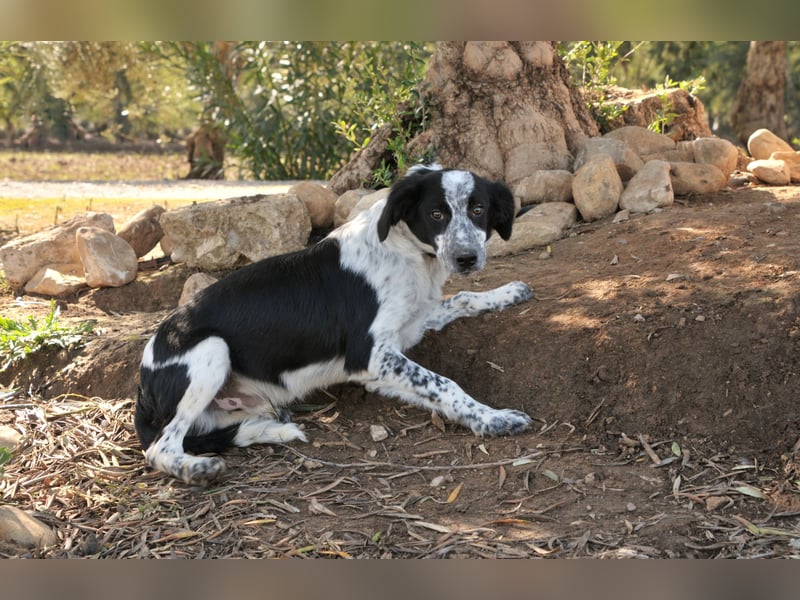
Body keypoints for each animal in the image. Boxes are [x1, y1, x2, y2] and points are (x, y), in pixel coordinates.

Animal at [137, 165, 536, 488]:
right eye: (437, 213)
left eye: (478, 210)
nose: (467, 258)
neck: (404, 250)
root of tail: (142, 385)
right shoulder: (369, 356)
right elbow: (446, 383)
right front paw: (493, 418)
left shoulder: (402, 336)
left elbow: (461, 299)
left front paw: (508, 292)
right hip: (211, 350)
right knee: (160, 447)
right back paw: (197, 469)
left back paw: (270, 429)